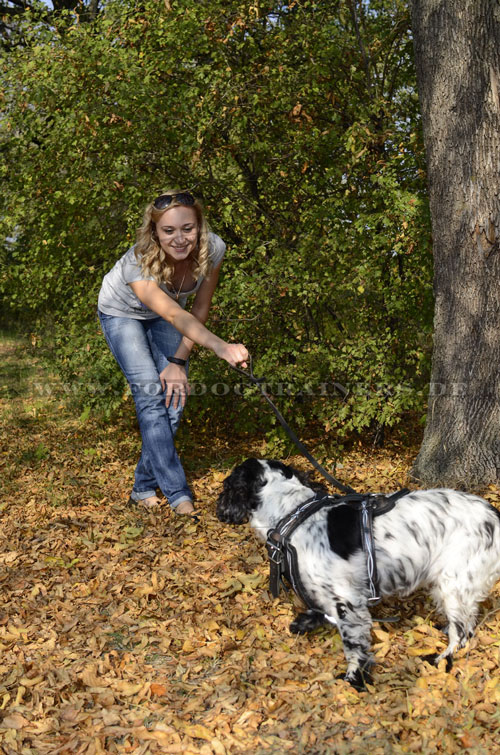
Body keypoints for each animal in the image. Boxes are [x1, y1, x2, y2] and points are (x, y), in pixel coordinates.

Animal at [217, 458, 500, 688]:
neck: (293, 513)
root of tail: (494, 515)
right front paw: (307, 622)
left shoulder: (347, 600)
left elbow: (353, 644)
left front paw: (354, 678)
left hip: (454, 583)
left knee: (462, 634)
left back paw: (440, 658)